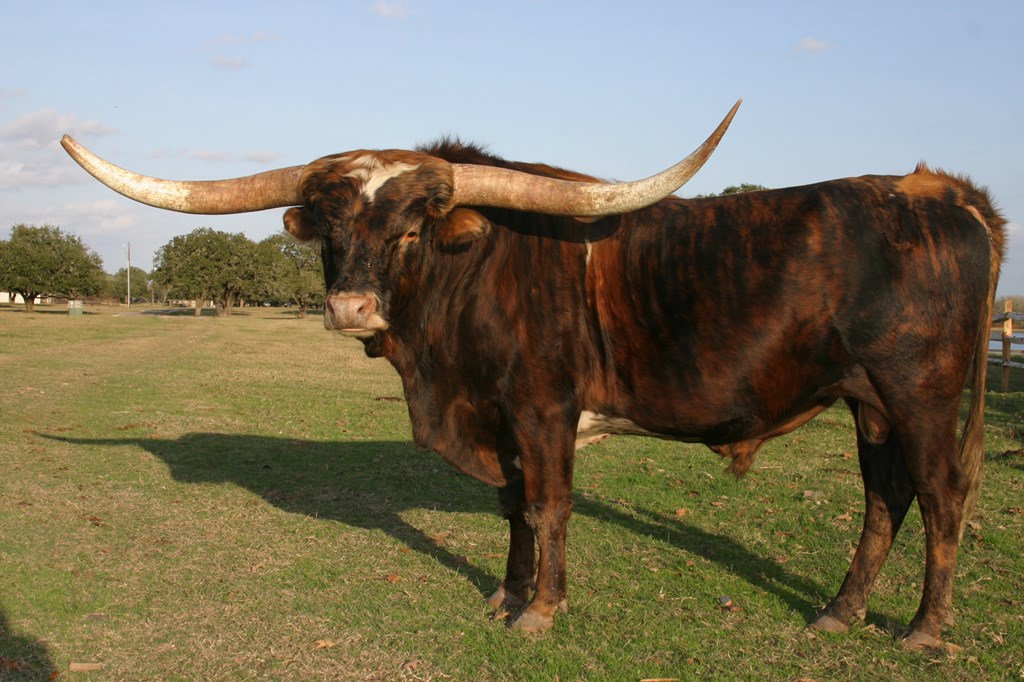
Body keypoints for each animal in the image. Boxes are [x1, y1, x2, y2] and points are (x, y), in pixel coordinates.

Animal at [61, 102, 1005, 649]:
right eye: (328, 229)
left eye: (411, 229)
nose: (351, 307)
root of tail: (944, 193)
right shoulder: (498, 417)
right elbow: (513, 507)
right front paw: (505, 594)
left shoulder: (545, 410)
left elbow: (549, 506)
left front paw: (541, 611)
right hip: (868, 403)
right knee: (886, 497)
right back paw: (840, 611)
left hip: (920, 395)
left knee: (942, 497)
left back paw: (925, 632)